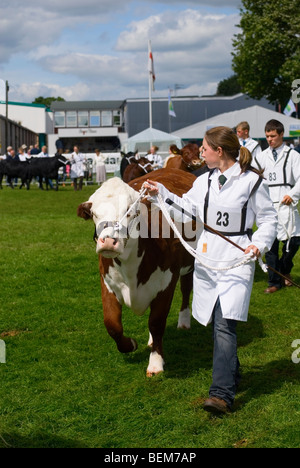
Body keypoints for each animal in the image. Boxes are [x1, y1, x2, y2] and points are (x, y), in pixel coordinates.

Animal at [76, 168, 196, 376]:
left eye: (131, 212)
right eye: (94, 213)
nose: (109, 241)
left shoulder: (167, 282)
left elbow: (156, 322)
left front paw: (156, 363)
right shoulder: (107, 281)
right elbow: (112, 324)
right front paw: (131, 344)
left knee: (186, 288)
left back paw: (184, 321)